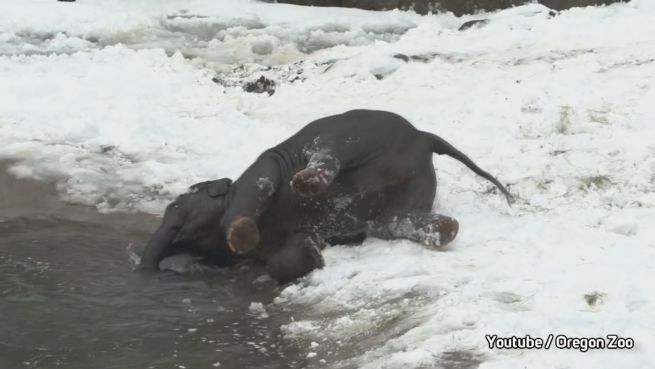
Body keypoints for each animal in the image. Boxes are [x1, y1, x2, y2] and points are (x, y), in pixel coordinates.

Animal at [141, 109, 516, 282]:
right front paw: (315, 253)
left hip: (354, 132)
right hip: (409, 194)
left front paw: (243, 235)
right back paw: (444, 230)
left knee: (328, 151)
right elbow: (281, 259)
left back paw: (306, 182)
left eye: (176, 204)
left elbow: (255, 190)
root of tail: (425, 138)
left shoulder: (258, 172)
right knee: (398, 221)